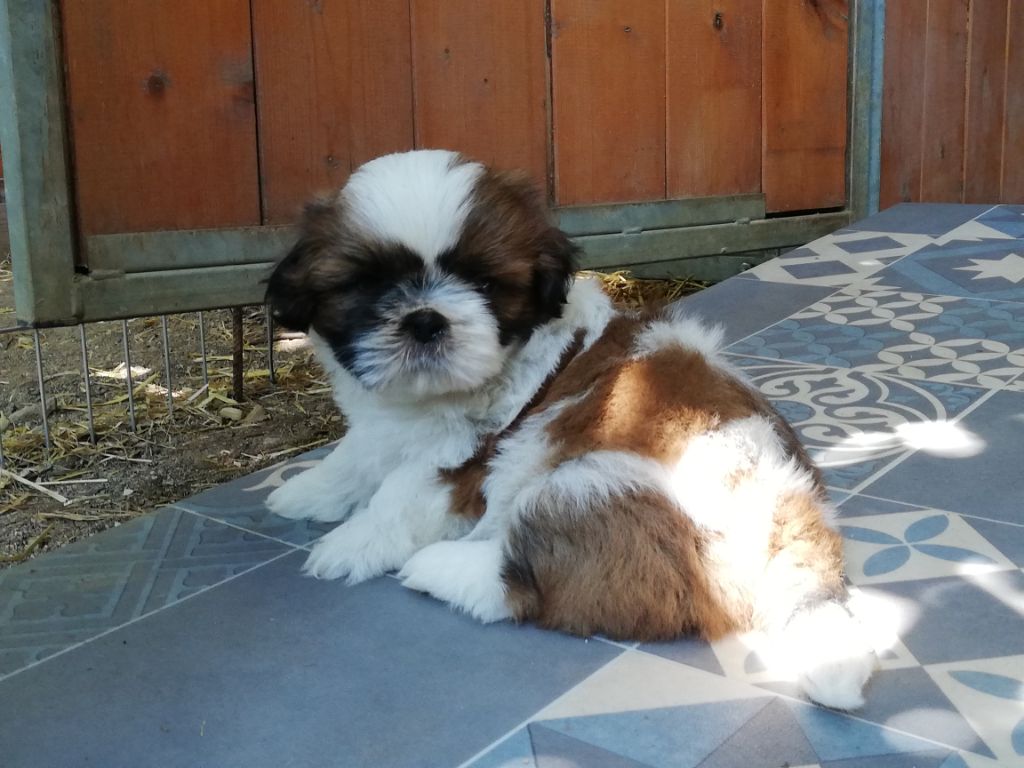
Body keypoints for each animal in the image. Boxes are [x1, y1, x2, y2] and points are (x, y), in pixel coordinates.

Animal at [264, 149, 876, 710]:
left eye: (482, 282)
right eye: (369, 285)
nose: (425, 320)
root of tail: (793, 511)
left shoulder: (468, 451)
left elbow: (397, 498)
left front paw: (347, 546)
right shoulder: (382, 426)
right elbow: (354, 455)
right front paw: (307, 493)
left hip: (583, 486)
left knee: (535, 582)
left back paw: (439, 569)